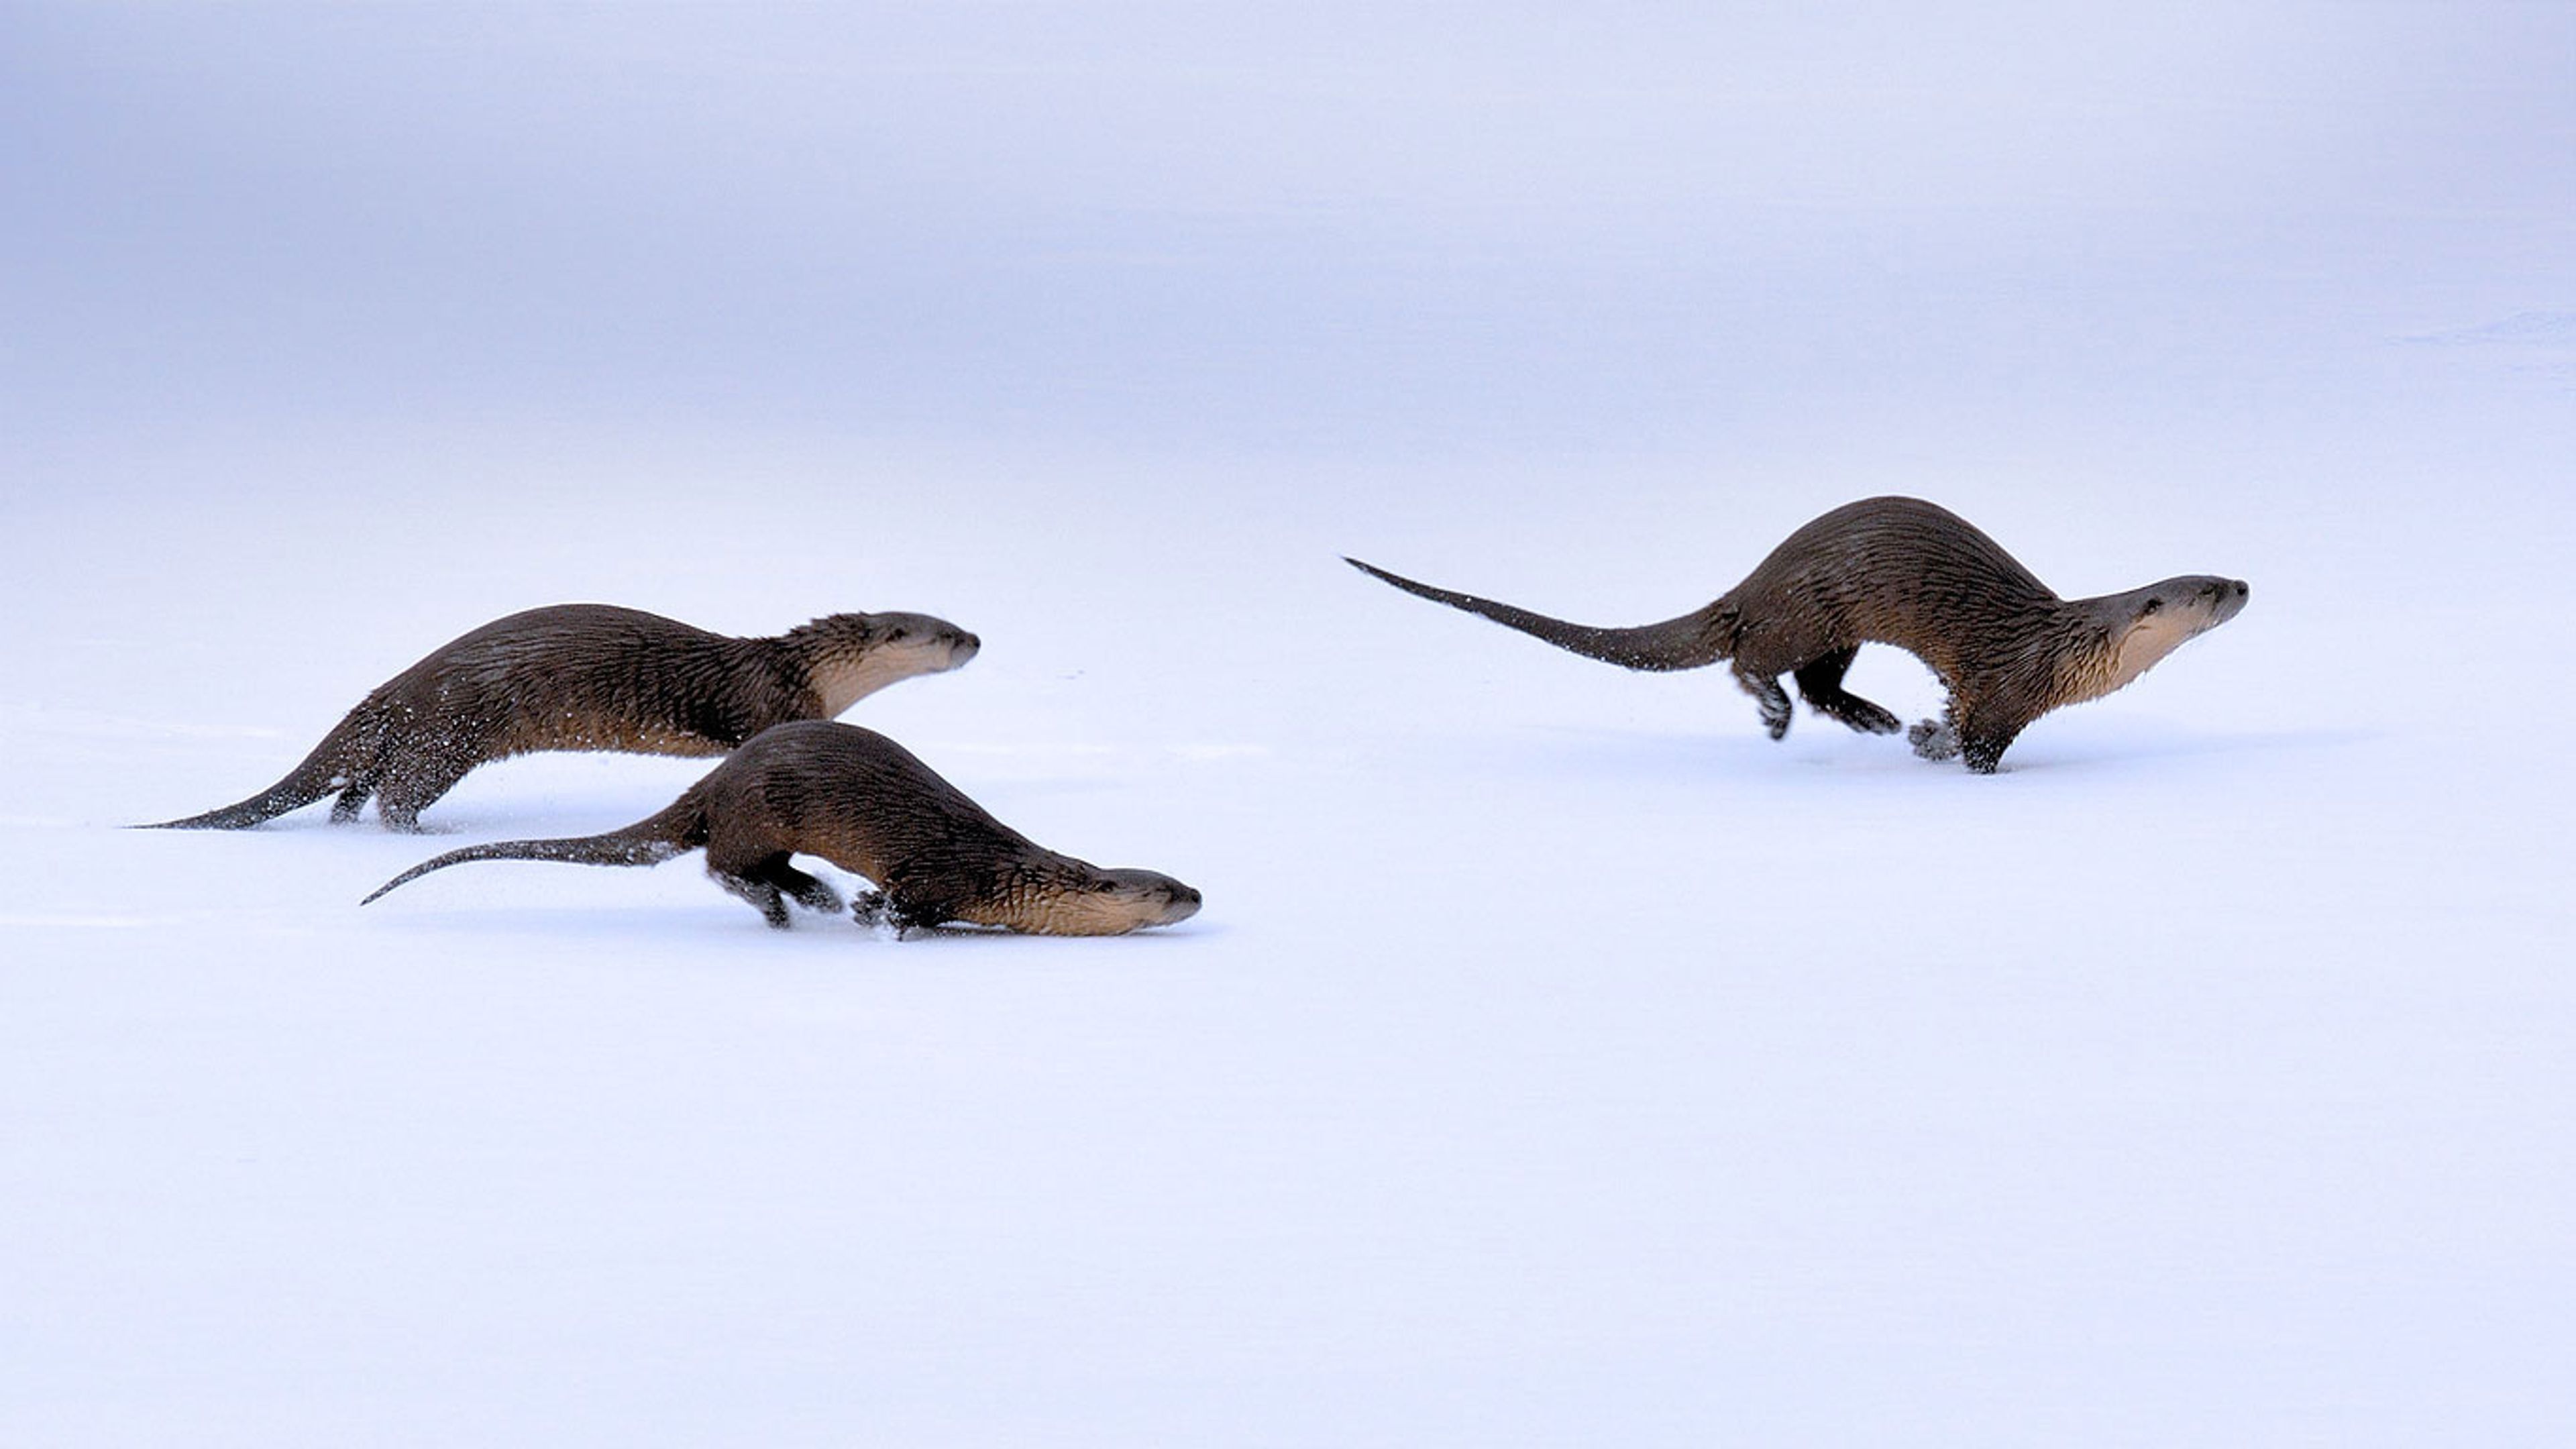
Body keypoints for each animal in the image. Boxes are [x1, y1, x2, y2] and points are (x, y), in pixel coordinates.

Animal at [145, 604, 981, 830]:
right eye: (943, 633)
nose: (977, 640)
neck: (803, 670)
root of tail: (395, 685)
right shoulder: (769, 706)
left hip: (412, 737)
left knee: (355, 792)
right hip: (446, 735)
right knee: (396, 796)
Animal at [361, 720, 1201, 936]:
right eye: (1163, 889)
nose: (1200, 895)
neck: (1008, 877)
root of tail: (716, 780)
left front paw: (858, 909)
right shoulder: (943, 877)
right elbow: (910, 905)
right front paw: (874, 915)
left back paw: (813, 897)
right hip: (756, 810)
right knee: (724, 868)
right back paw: (799, 908)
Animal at [1349, 496, 2247, 772]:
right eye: (2207, 591)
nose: (2245, 584)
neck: (2067, 651)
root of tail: (1755, 578)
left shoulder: (1982, 690)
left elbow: (1949, 716)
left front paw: (1918, 735)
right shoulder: (2004, 692)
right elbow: (1976, 742)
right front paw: (1941, 752)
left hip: (1831, 629)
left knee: (1819, 683)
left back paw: (1874, 718)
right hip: (1804, 611)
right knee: (1753, 662)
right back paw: (1778, 716)